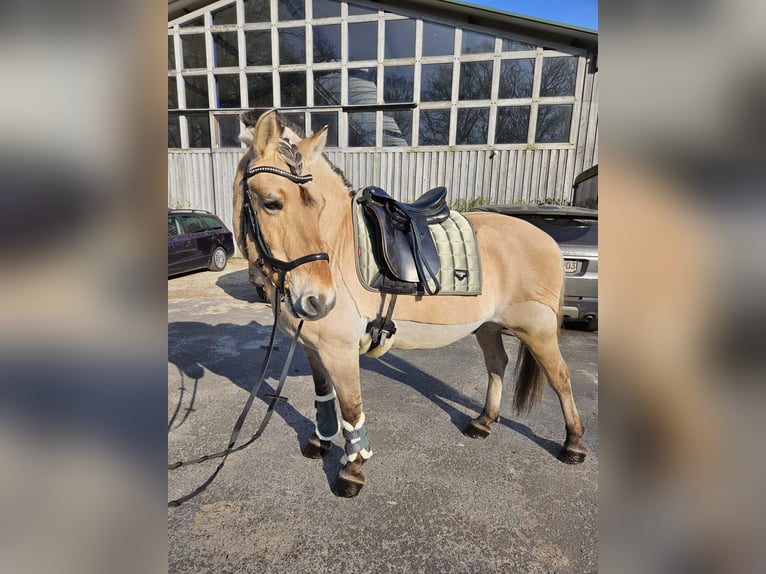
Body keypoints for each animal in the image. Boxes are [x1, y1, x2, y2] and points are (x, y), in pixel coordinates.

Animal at [233, 110, 587, 497]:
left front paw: (352, 471)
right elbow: (324, 394)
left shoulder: (340, 351)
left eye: (319, 205)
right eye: (271, 202)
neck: (340, 245)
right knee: (497, 365)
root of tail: (548, 240)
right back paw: (483, 422)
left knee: (561, 378)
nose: (319, 299)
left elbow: (351, 407)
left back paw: (573, 444)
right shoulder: (313, 347)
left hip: (537, 331)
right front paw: (320, 442)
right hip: (488, 326)